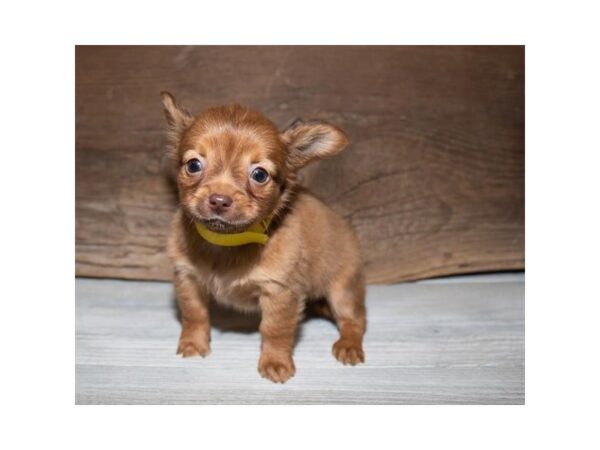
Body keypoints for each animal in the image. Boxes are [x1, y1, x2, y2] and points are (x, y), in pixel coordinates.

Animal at [161, 92, 366, 384]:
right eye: (193, 165)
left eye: (259, 174)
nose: (219, 200)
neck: (227, 243)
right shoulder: (187, 278)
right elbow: (194, 314)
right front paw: (193, 343)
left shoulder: (280, 292)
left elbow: (274, 330)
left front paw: (275, 362)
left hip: (343, 290)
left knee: (355, 320)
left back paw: (348, 345)